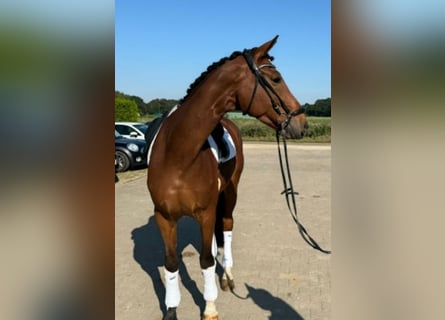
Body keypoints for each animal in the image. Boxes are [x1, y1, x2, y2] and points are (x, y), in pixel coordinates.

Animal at [147, 36, 306, 318]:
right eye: (276, 79)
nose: (303, 122)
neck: (177, 154)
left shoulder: (206, 212)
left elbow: (206, 260)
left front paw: (209, 306)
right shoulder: (164, 217)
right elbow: (171, 263)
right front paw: (171, 309)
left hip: (230, 193)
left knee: (228, 226)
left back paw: (227, 276)